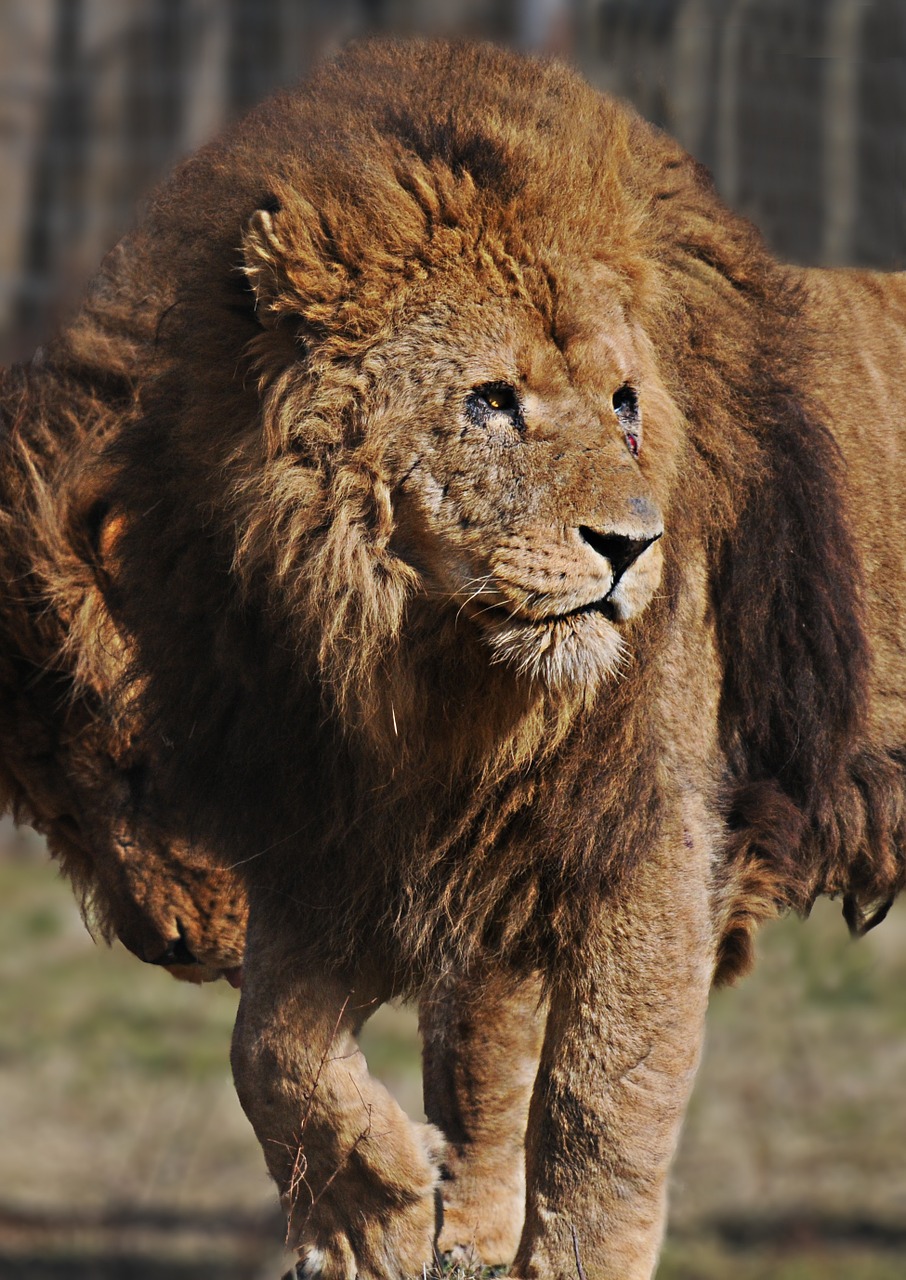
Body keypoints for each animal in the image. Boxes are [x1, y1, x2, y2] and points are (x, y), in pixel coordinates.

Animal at [7, 40, 906, 1280]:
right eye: (490, 400)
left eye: (626, 404)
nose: (634, 546)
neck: (428, 675)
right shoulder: (350, 843)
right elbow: (287, 1048)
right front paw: (384, 1211)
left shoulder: (648, 851)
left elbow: (596, 1110)